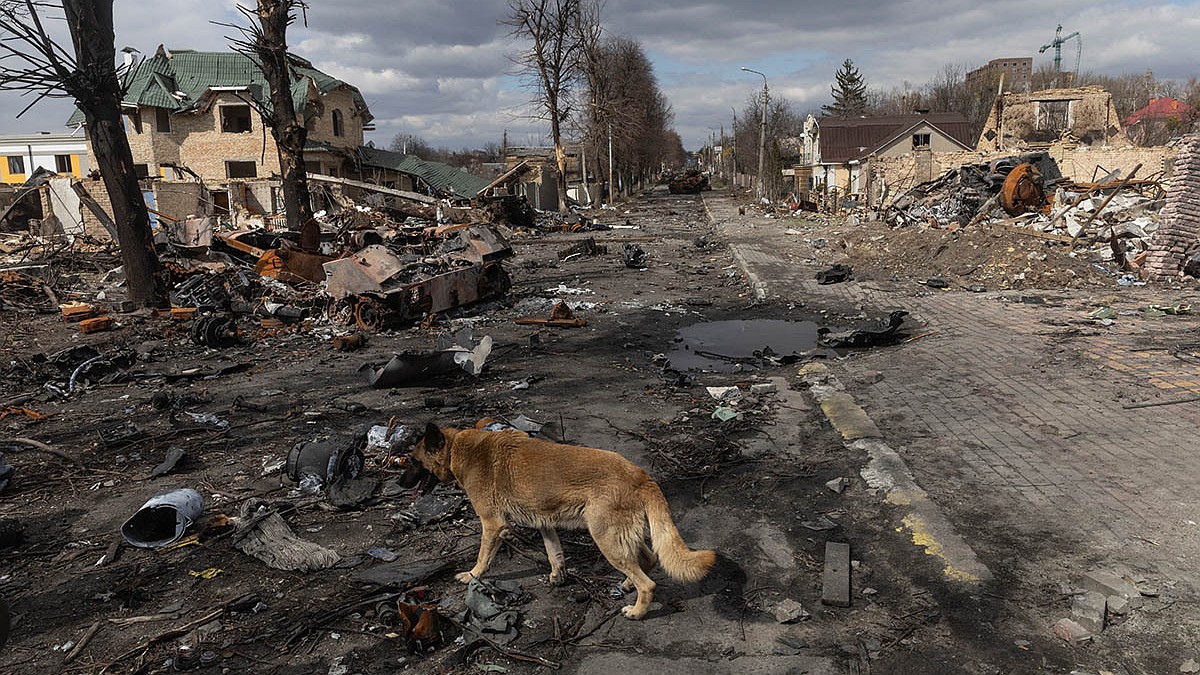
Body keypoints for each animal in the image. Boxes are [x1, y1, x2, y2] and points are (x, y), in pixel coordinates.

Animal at [410, 422, 710, 619]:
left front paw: (472, 575)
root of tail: (640, 474)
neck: (458, 448)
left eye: (412, 462)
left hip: (605, 538)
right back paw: (627, 585)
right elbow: (554, 553)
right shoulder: (545, 522)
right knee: (647, 560)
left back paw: (637, 611)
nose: (402, 483)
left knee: (647, 583)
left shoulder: (493, 524)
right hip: (619, 536)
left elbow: (483, 557)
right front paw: (558, 576)